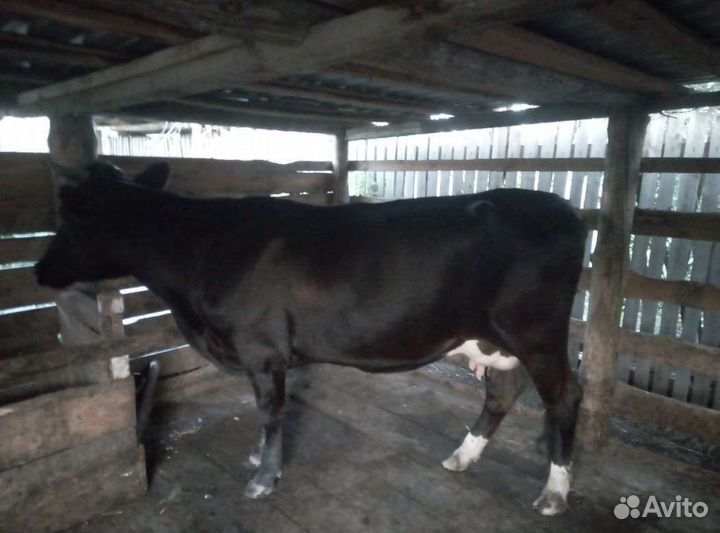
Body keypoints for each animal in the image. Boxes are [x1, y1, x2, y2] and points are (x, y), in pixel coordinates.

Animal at [35, 161, 585, 516]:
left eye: (72, 218)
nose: (38, 270)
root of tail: (561, 206)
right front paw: (259, 459)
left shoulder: (261, 348)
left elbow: (270, 411)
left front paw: (263, 478)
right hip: (501, 337)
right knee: (503, 392)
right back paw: (464, 456)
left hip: (536, 331)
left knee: (565, 396)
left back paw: (556, 492)